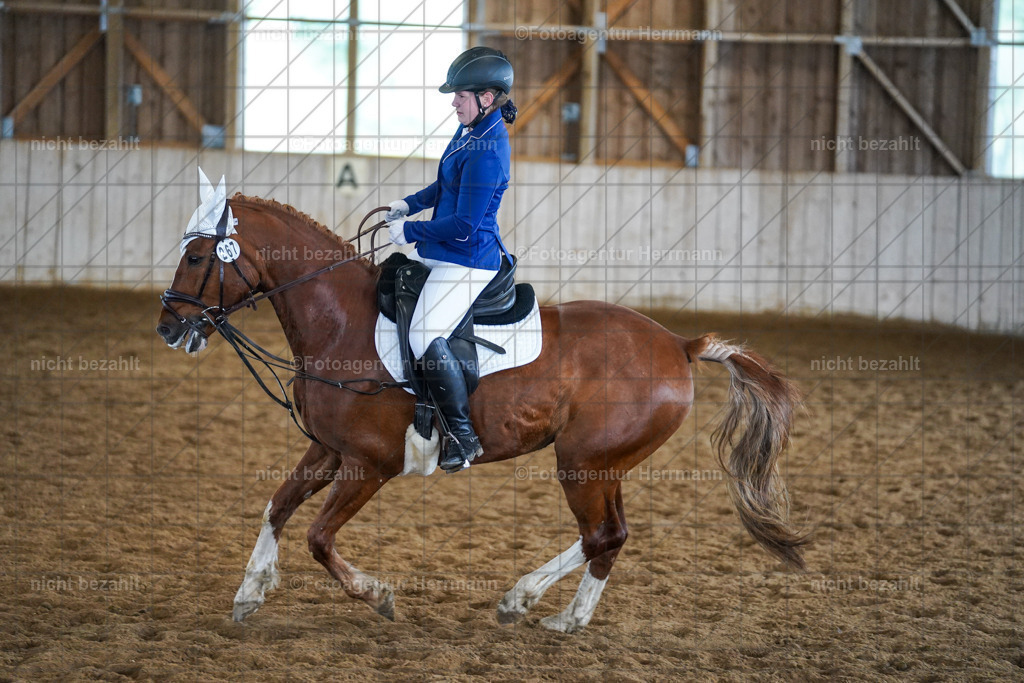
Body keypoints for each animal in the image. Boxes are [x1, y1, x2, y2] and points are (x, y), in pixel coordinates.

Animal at [156, 193, 807, 633]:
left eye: (198, 257)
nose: (167, 326)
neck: (341, 322)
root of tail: (677, 344)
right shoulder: (328, 449)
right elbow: (277, 506)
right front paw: (249, 592)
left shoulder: (369, 465)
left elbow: (317, 537)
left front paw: (377, 595)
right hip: (604, 464)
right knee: (612, 537)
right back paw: (567, 619)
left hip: (582, 463)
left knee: (601, 534)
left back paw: (521, 599)